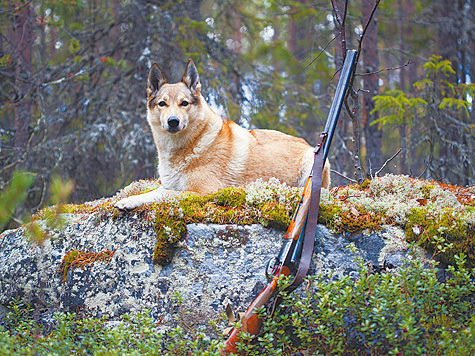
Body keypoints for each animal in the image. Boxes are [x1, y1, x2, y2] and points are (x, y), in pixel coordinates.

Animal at [115, 59, 330, 210]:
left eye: (184, 103)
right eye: (162, 104)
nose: (173, 121)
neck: (189, 146)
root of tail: (308, 144)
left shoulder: (201, 192)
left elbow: (164, 195)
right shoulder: (169, 185)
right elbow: (151, 193)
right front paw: (129, 201)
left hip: (310, 162)